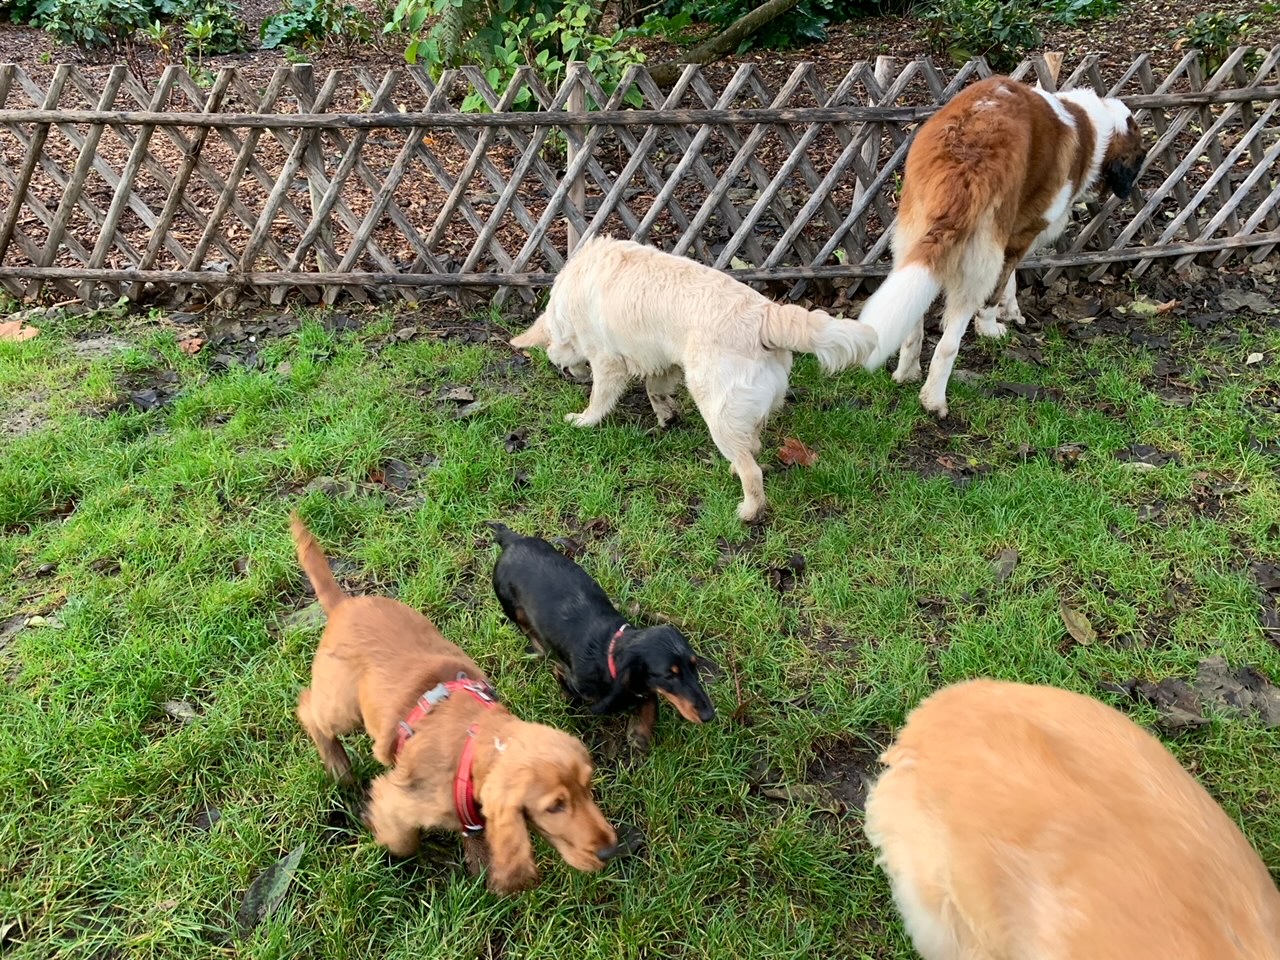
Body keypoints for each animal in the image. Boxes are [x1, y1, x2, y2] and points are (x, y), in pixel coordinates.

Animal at [509, 238, 880, 522]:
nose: (570, 373)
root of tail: (766, 314)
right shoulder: (663, 359)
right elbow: (655, 390)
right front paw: (666, 415)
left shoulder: (607, 360)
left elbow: (601, 398)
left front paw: (584, 419)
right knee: (752, 445)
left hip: (716, 409)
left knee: (753, 470)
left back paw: (749, 510)